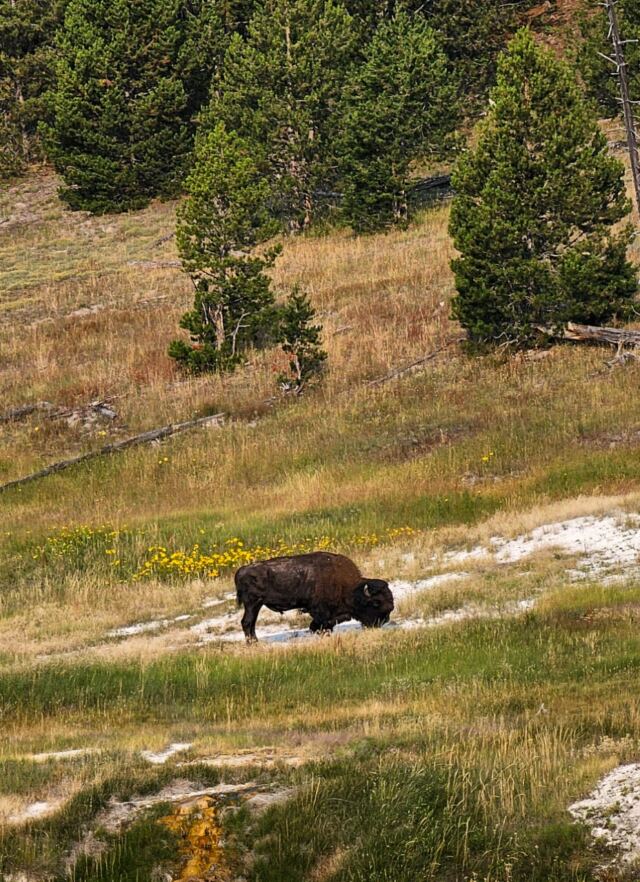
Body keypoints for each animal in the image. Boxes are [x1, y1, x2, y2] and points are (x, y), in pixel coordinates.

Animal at [234, 551, 394, 642]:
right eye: (376, 603)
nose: (384, 620)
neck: (351, 589)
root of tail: (241, 570)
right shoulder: (320, 611)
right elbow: (321, 624)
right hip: (253, 604)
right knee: (247, 622)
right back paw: (254, 643)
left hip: (255, 605)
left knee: (250, 623)